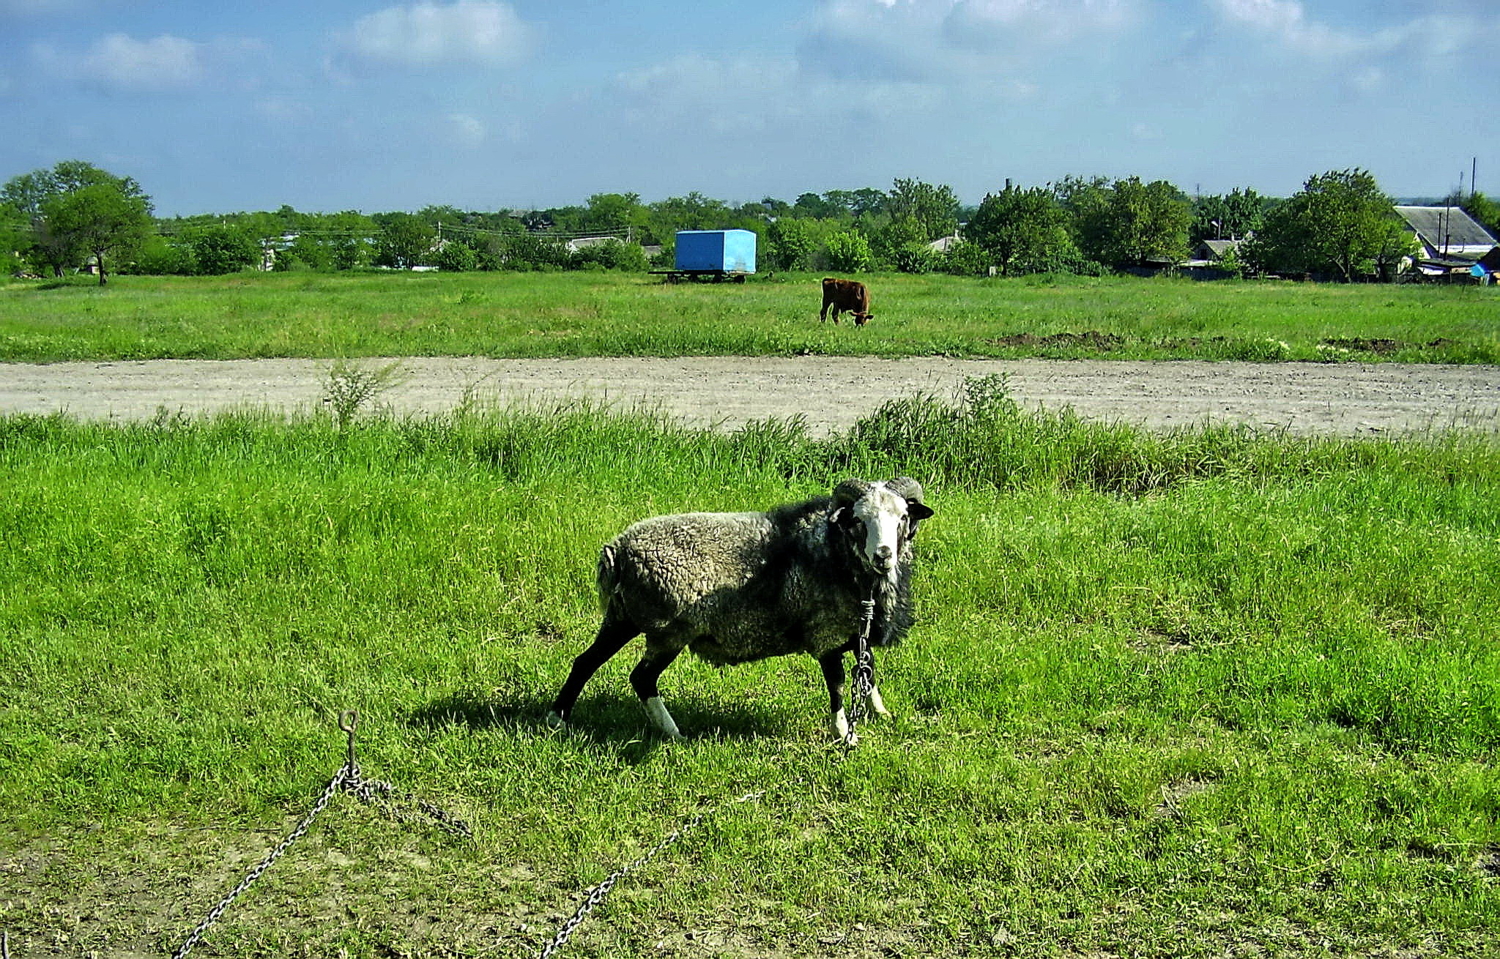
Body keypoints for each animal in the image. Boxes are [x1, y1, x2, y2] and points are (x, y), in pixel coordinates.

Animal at [546, 477, 930, 744]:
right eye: (858, 520)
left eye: (903, 517)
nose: (883, 555)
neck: (837, 554)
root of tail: (619, 550)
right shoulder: (826, 634)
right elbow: (836, 683)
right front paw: (844, 733)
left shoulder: (855, 630)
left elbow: (868, 671)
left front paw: (881, 713)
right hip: (670, 629)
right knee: (641, 678)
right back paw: (674, 734)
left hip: (623, 615)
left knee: (586, 661)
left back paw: (557, 719)